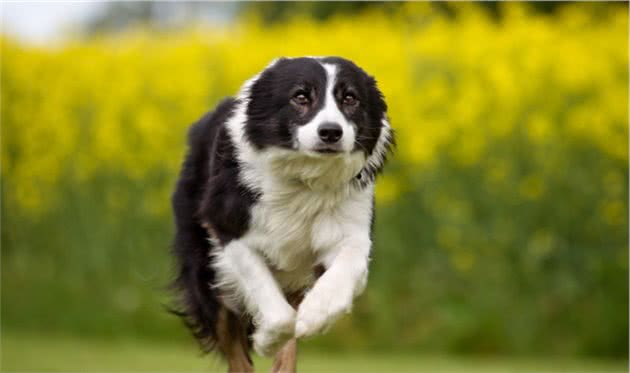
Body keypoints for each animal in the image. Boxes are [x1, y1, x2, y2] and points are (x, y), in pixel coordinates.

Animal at [170, 56, 392, 370]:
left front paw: (315, 315)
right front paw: (266, 340)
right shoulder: (227, 229)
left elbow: (345, 270)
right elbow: (277, 311)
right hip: (204, 269)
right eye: (300, 97)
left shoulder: (351, 229)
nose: (331, 132)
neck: (305, 179)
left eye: (350, 98)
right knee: (236, 351)